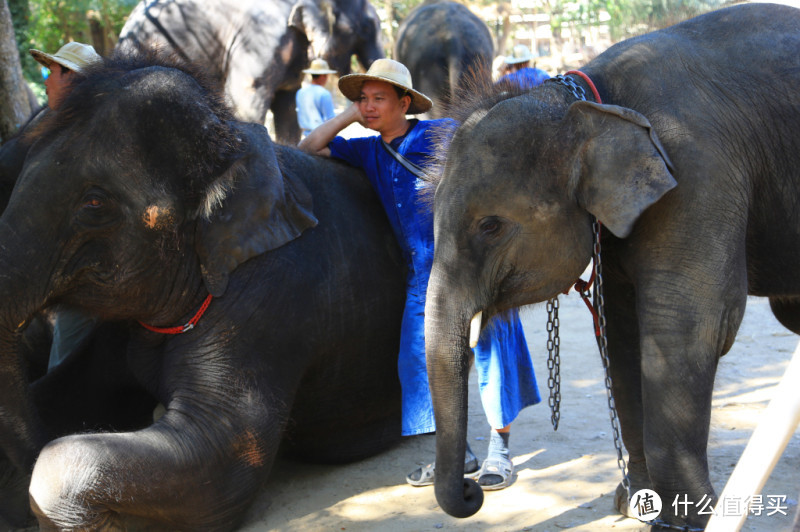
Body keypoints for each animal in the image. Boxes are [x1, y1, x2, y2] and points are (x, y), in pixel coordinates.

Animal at [0, 51, 406, 532]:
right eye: (18, 170)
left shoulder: (271, 304)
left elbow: (221, 453)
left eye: (94, 203)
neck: (231, 143)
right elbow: (73, 392)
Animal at [428, 3, 800, 528]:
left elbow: (686, 328)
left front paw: (693, 518)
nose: (472, 488)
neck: (584, 101)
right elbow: (621, 334)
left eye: (491, 226)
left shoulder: (698, 172)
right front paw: (638, 504)